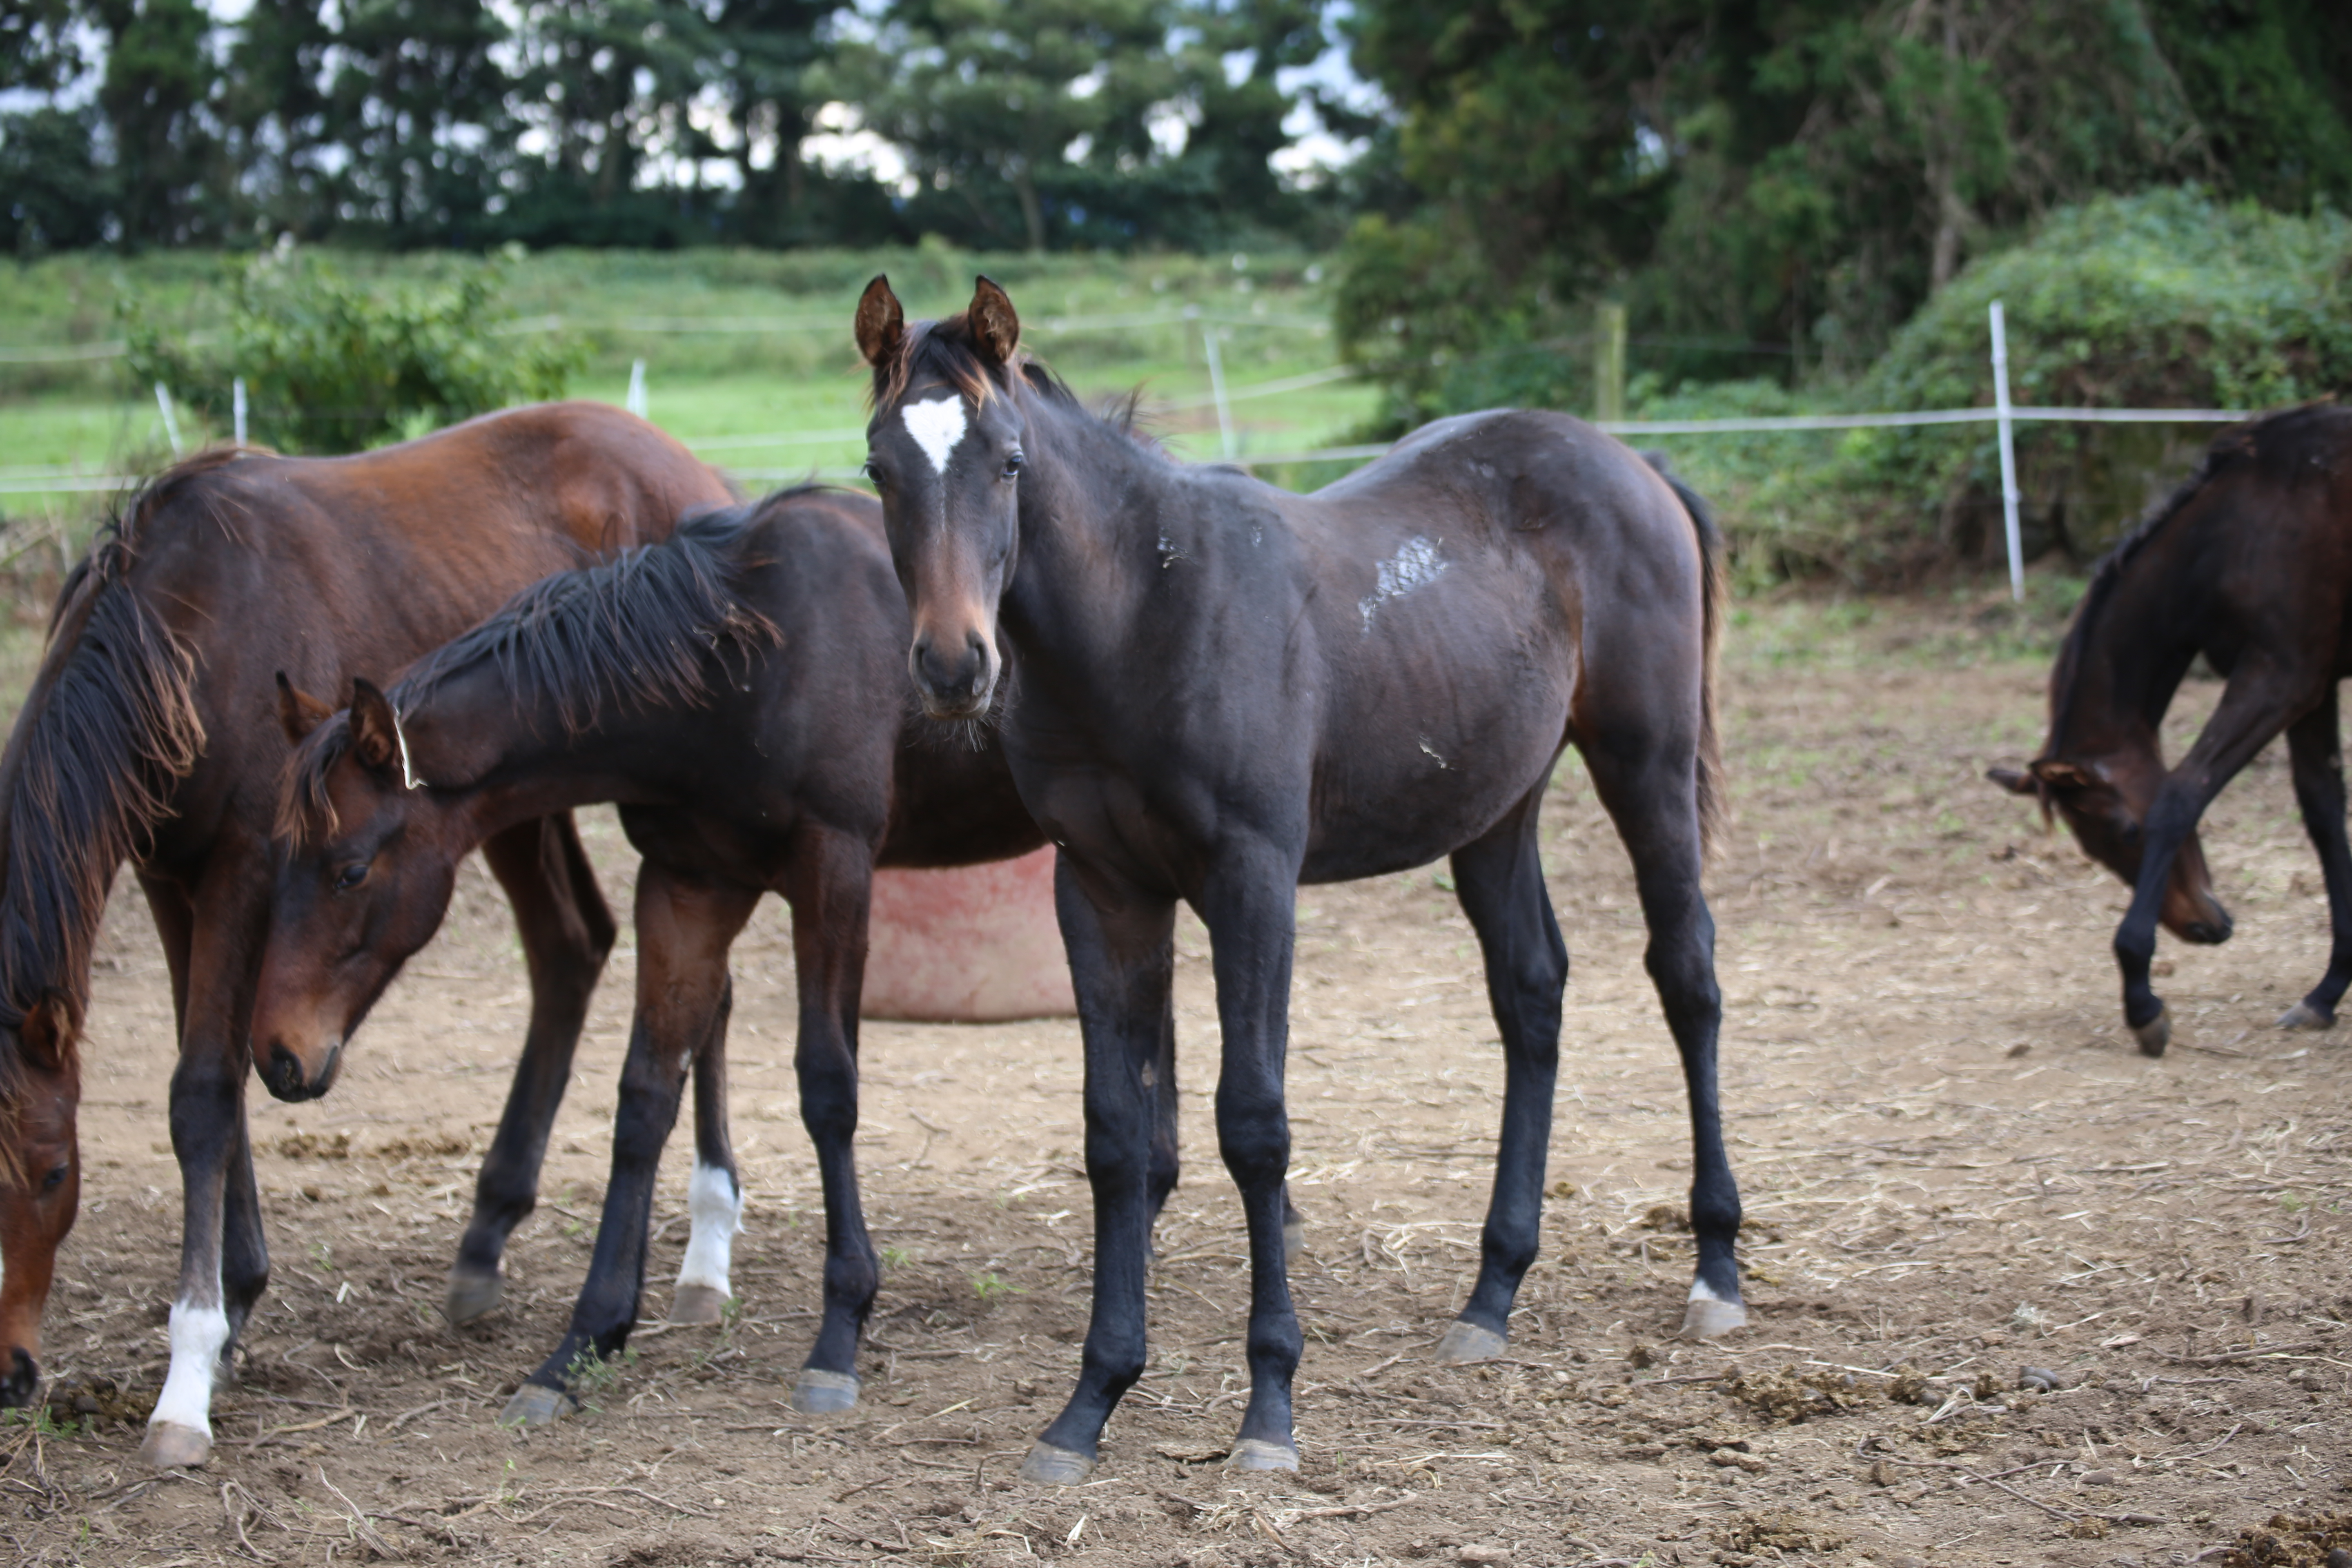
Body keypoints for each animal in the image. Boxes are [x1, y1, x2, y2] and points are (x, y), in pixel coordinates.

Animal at [0, 404, 729, 1476]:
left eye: (55, 1173)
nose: (9, 1374)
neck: (186, 626)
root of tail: (699, 475)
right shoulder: (171, 880)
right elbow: (214, 1075)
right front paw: (237, 1299)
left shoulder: (242, 870)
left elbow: (200, 1094)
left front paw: (190, 1372)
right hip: (512, 808)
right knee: (573, 946)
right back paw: (486, 1237)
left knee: (696, 989)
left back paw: (707, 1255)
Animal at [253, 496, 1044, 1429]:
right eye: (275, 862)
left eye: (349, 870)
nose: (277, 1054)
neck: (746, 661)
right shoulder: (687, 886)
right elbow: (644, 1097)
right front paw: (581, 1343)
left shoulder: (835, 872)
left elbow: (828, 1088)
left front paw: (840, 1331)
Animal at [861, 276, 1750, 1495]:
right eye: (877, 467)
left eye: (1007, 462)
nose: (954, 667)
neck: (1143, 613)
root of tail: (1634, 463)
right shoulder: (1102, 890)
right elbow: (1116, 1135)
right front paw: (1089, 1404)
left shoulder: (1253, 882)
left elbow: (1254, 1126)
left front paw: (1269, 1408)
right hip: (1494, 811)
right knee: (1531, 997)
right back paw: (1490, 1295)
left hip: (1645, 765)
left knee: (1686, 975)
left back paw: (1716, 1272)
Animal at [1994, 404, 2352, 1053]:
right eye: (2093, 850)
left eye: (2128, 831)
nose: (2202, 928)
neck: (2237, 529)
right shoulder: (2314, 686)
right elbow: (2324, 816)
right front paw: (2327, 992)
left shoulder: (2279, 679)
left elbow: (2181, 796)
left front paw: (2141, 997)